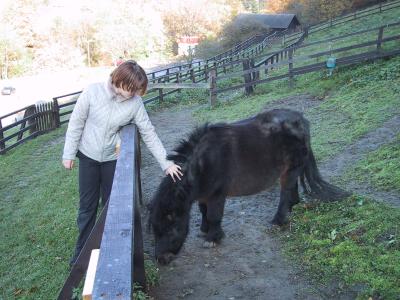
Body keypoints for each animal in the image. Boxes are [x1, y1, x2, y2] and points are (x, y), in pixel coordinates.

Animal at [148, 109, 350, 264]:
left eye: (171, 229)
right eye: (155, 230)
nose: (161, 259)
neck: (204, 163)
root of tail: (301, 120)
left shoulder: (217, 195)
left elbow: (214, 215)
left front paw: (213, 238)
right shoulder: (205, 194)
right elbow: (203, 211)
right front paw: (205, 230)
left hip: (291, 168)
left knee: (285, 193)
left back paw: (278, 220)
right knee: (292, 192)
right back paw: (291, 209)